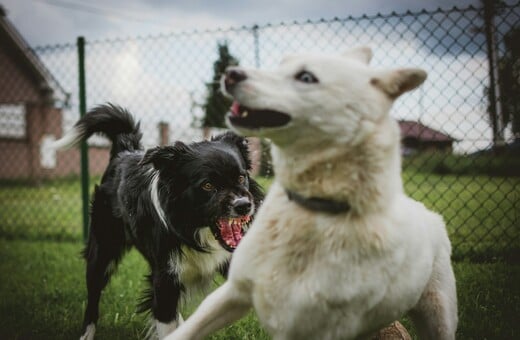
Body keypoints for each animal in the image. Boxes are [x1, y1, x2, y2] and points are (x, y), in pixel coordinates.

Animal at [52, 104, 264, 340]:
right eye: (208, 185)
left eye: (241, 177)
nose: (244, 205)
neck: (194, 230)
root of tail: (124, 151)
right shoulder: (165, 279)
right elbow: (165, 319)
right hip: (102, 250)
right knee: (93, 297)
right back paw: (86, 334)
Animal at [165, 47, 458, 340]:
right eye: (281, 63)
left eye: (306, 77)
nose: (231, 73)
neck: (310, 213)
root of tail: (427, 212)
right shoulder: (233, 292)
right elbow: (183, 331)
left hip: (438, 315)